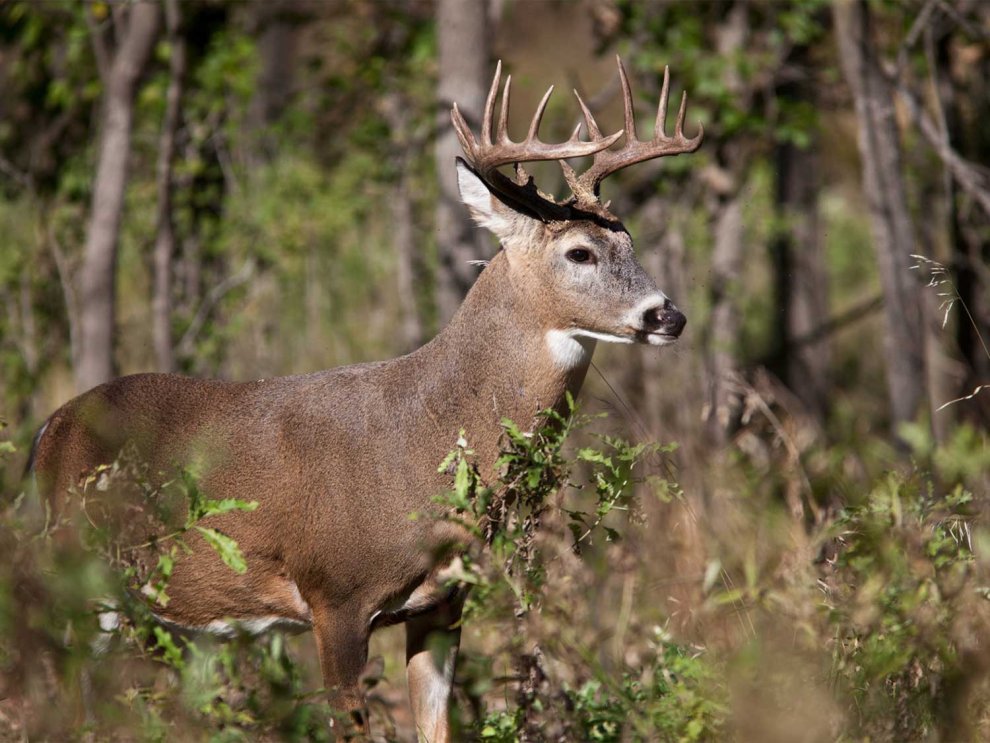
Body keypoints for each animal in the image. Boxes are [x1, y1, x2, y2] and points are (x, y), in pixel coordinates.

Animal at [28, 57, 701, 741]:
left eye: (631, 244)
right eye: (579, 252)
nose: (669, 316)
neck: (425, 436)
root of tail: (48, 431)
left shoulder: (442, 605)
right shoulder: (336, 595)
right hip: (76, 572)